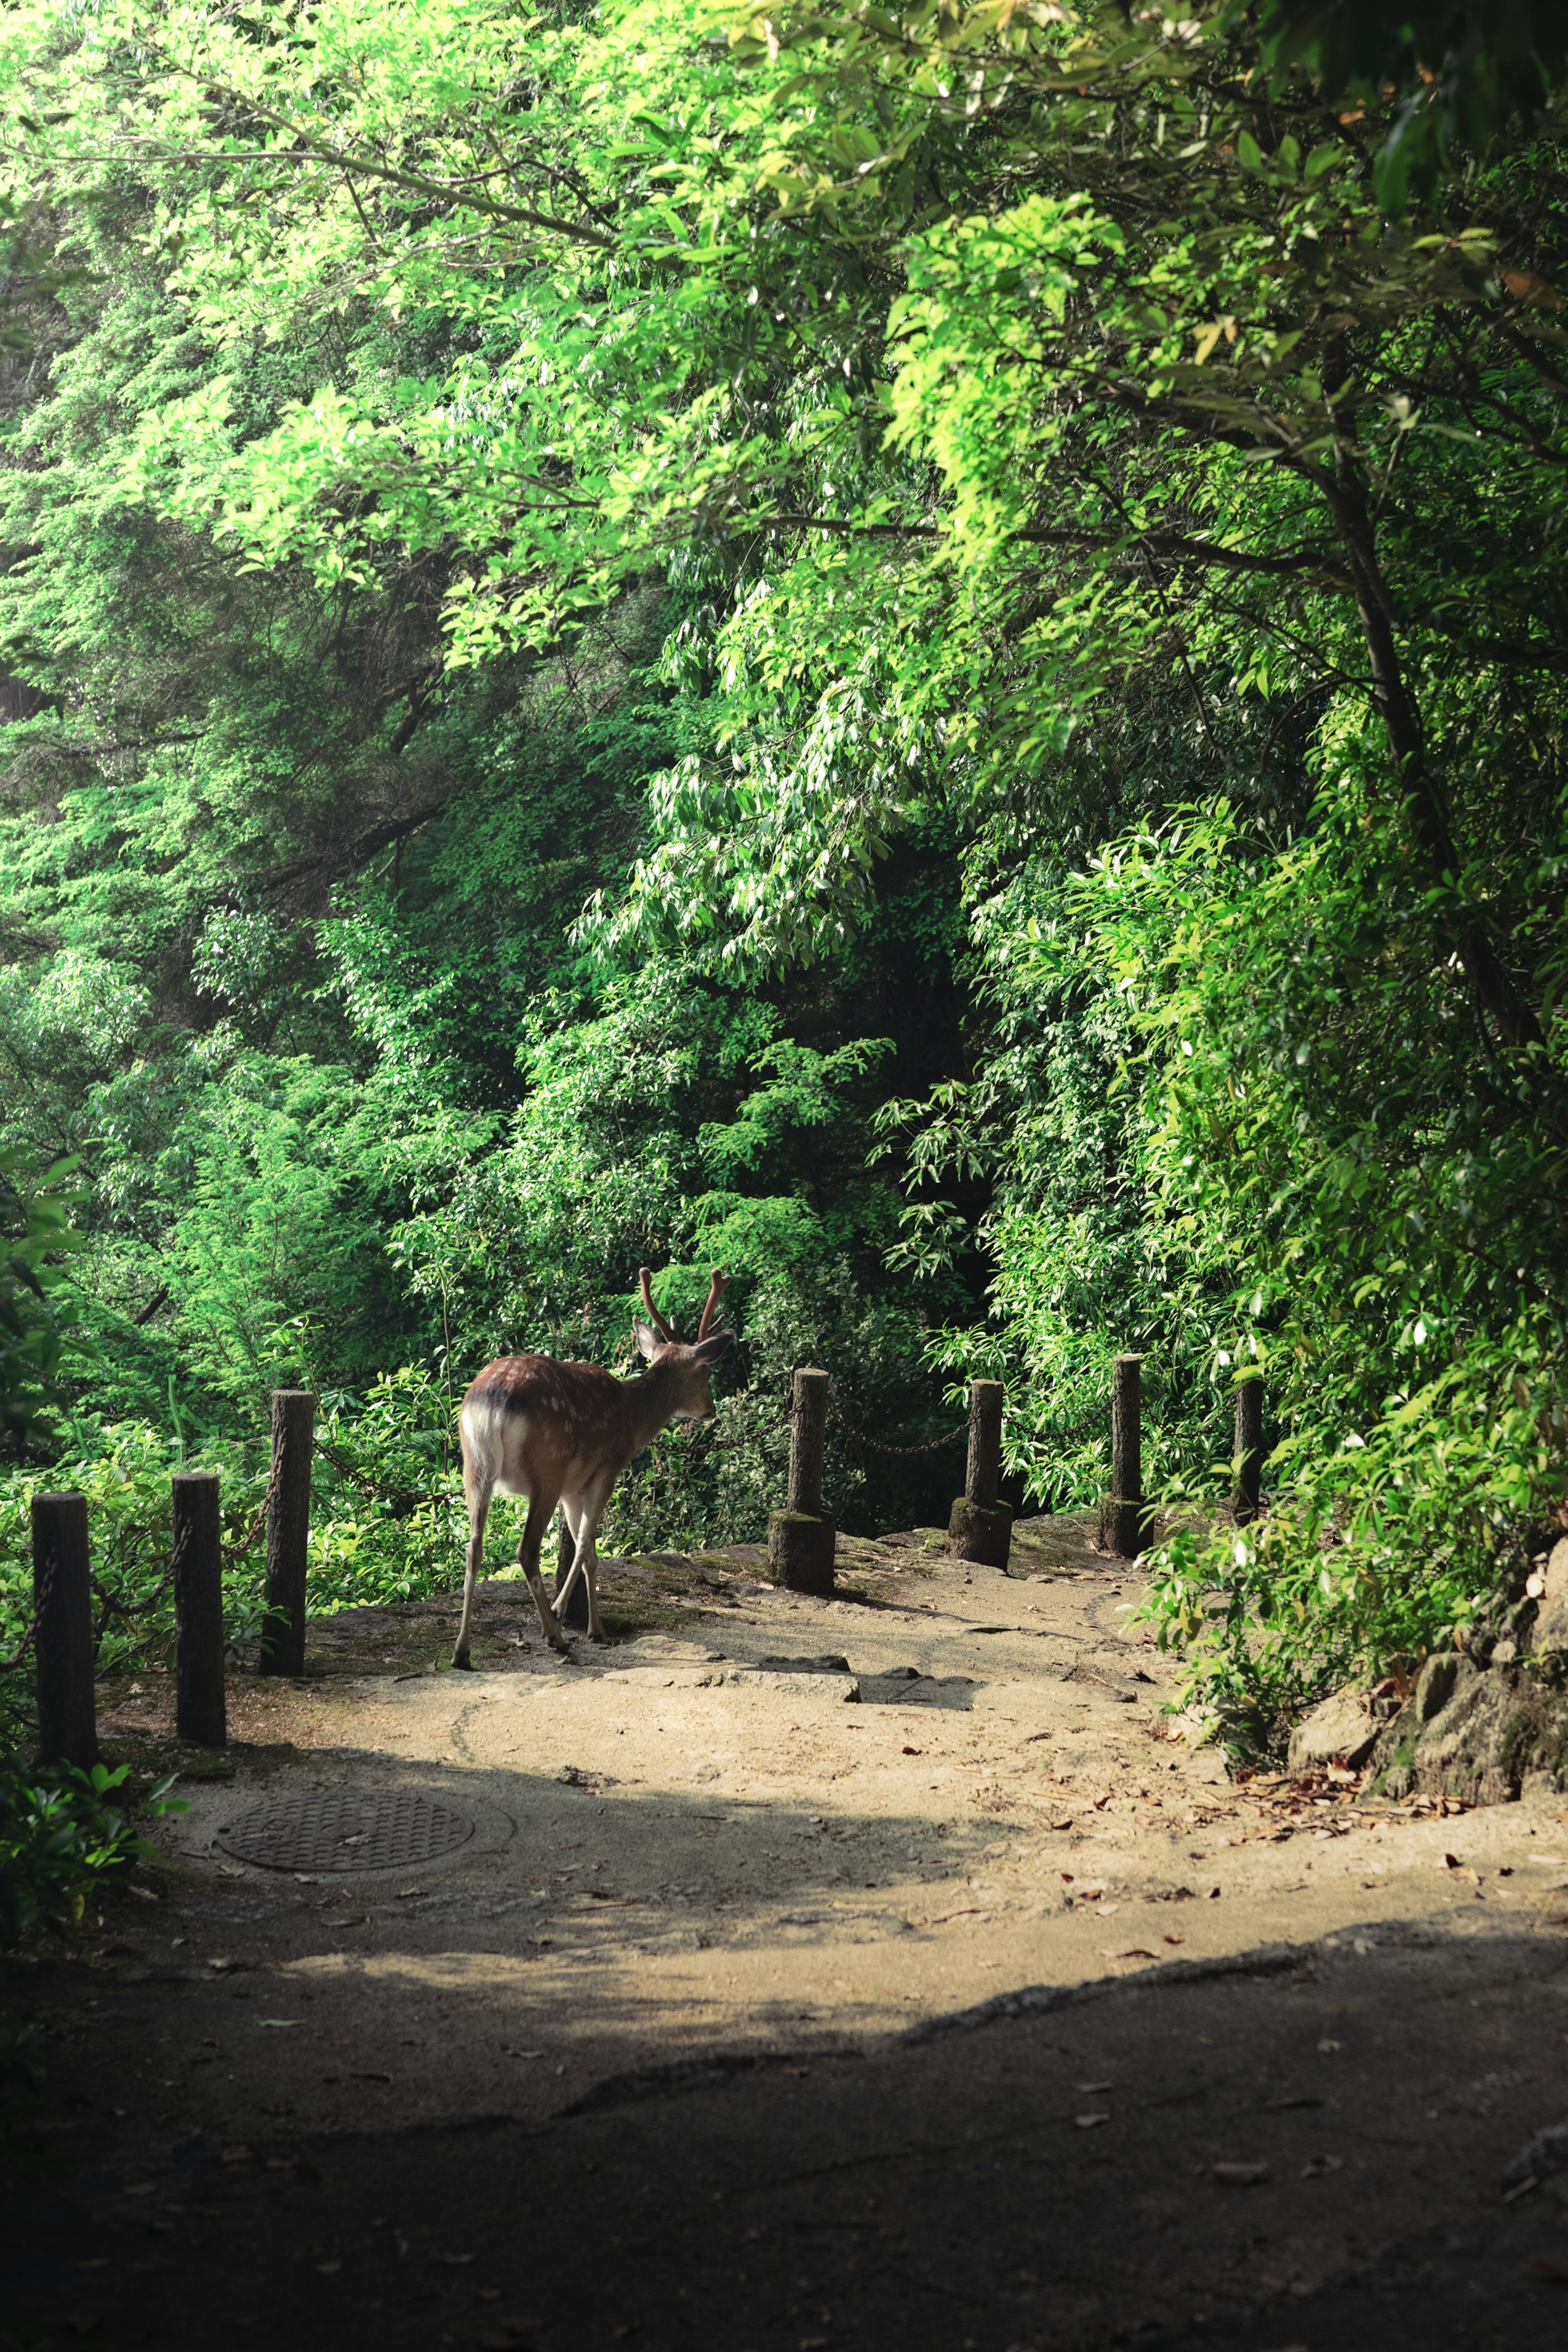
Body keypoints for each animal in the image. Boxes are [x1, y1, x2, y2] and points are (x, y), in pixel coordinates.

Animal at [446, 1270, 728, 1675]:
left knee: (473, 1547)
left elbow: (589, 1555)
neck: (633, 1420)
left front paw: (589, 1625)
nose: (711, 1410)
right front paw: (573, 1619)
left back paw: (462, 1651)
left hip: (474, 1467)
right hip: (547, 1468)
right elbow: (584, 1548)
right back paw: (555, 1636)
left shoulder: (573, 1489)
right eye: (706, 1371)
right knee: (526, 1550)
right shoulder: (605, 1472)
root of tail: (494, 1398)